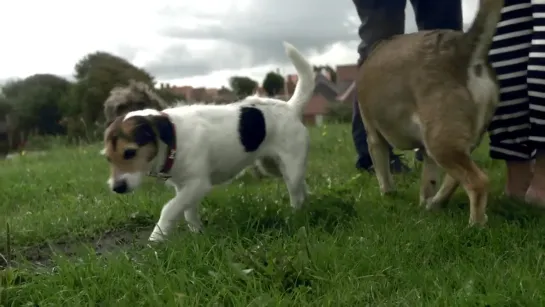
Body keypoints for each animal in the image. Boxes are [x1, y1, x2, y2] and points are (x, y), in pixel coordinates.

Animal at [101, 41, 314, 243]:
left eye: (129, 152)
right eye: (109, 159)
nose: (116, 188)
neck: (173, 140)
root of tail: (290, 107)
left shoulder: (198, 184)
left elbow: (170, 208)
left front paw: (157, 237)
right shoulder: (185, 187)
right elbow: (188, 212)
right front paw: (198, 233)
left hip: (291, 165)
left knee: (295, 190)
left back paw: (295, 214)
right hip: (271, 165)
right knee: (300, 185)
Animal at [356, 0, 502, 226]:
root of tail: (463, 47)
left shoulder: (374, 137)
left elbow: (383, 172)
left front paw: (388, 194)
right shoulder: (426, 152)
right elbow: (429, 180)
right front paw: (425, 202)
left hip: (441, 143)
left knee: (478, 182)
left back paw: (475, 225)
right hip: (448, 143)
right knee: (454, 178)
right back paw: (436, 203)